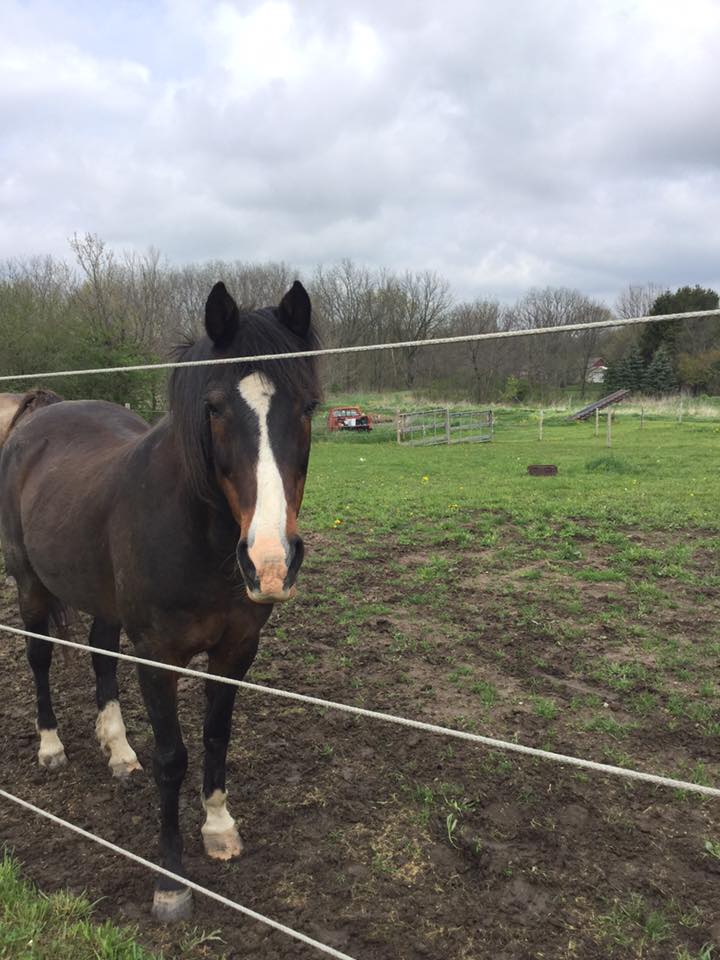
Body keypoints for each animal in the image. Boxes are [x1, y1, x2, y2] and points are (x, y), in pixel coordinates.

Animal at [0, 281, 320, 922]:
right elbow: (173, 758)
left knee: (99, 654)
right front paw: (170, 881)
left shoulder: (236, 651)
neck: (199, 538)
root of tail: (40, 414)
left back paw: (119, 752)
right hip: (28, 584)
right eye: (215, 408)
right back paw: (51, 747)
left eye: (309, 407)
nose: (271, 561)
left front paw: (219, 829)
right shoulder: (157, 657)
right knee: (39, 658)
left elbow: (216, 738)